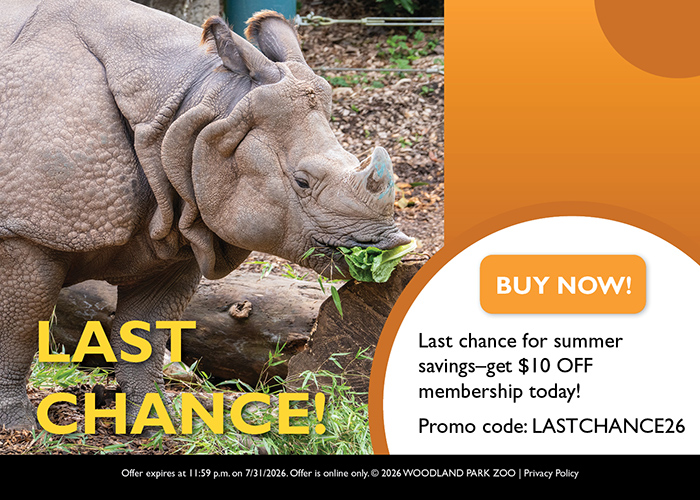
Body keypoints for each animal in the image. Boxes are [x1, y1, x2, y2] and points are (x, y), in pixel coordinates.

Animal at [0, 0, 410, 431]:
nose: (389, 245)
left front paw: (155, 422)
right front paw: (18, 426)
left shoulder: (177, 229)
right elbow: (20, 329)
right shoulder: (25, 233)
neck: (191, 107)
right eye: (301, 181)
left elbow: (144, 334)